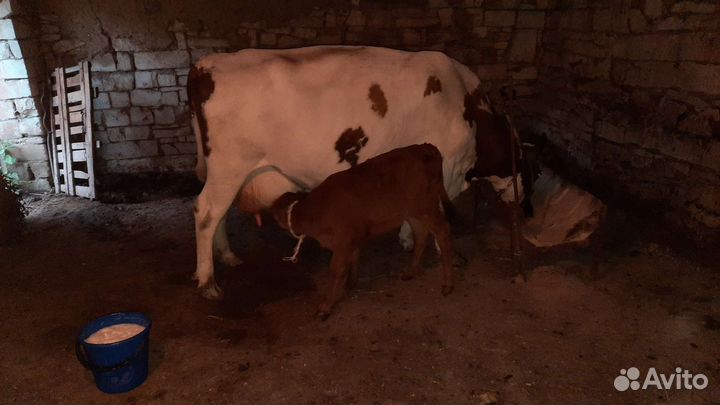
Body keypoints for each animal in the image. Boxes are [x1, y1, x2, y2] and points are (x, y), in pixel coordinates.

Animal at [188, 45, 498, 299]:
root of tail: (208, 63)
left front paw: (408, 239)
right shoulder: (445, 166)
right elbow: (438, 217)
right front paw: (446, 252)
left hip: (225, 172)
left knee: (218, 213)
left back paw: (228, 256)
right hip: (230, 167)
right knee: (206, 212)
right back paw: (207, 281)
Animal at [269, 143, 454, 319]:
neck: (317, 210)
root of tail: (426, 147)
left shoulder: (343, 240)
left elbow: (335, 271)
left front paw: (325, 307)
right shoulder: (352, 237)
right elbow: (354, 257)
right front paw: (350, 283)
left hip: (426, 207)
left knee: (443, 230)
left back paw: (447, 285)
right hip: (412, 212)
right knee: (421, 234)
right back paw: (411, 271)